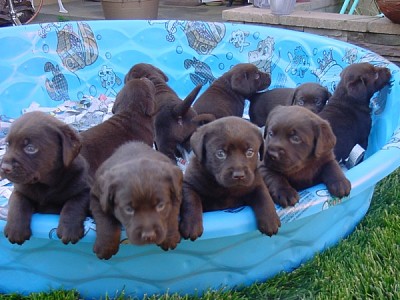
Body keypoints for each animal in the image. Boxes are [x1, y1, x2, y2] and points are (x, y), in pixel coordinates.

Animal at [0, 111, 90, 245]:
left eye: (30, 148)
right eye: (7, 145)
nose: (4, 168)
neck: (44, 185)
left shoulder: (85, 190)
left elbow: (74, 204)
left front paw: (69, 229)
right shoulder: (19, 190)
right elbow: (18, 204)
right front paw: (15, 230)